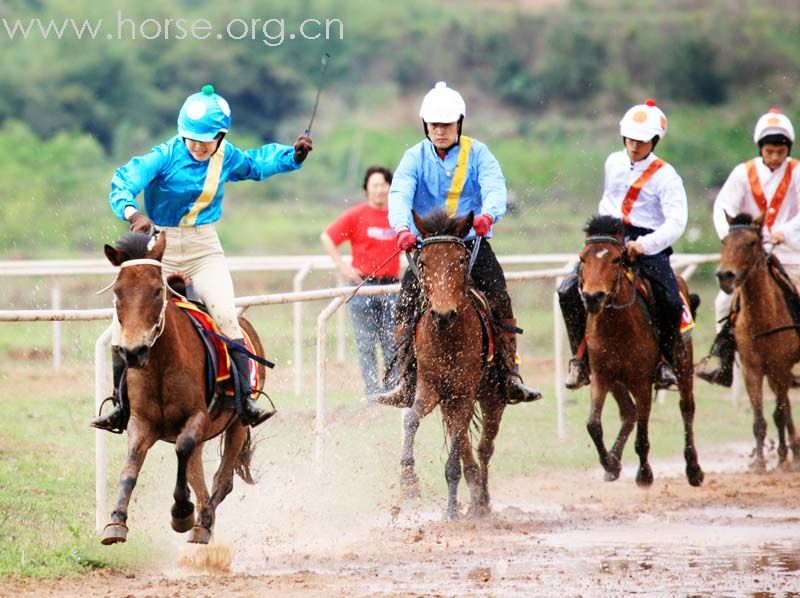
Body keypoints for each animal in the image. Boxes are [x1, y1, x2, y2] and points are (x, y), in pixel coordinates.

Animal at [100, 233, 266, 548]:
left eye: (156, 290)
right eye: (117, 291)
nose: (133, 351)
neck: (161, 365)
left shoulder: (196, 417)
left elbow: (183, 449)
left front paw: (181, 512)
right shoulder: (141, 422)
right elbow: (130, 469)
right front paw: (115, 521)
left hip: (237, 424)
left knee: (222, 479)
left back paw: (203, 523)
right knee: (197, 471)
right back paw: (201, 519)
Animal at [400, 211, 506, 520]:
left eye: (460, 260)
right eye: (423, 262)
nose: (443, 313)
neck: (448, 337)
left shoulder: (465, 392)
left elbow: (457, 452)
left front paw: (451, 509)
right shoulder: (430, 387)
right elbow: (411, 419)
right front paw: (408, 479)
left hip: (492, 397)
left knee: (484, 448)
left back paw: (482, 501)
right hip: (449, 402)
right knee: (469, 451)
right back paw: (473, 499)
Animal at [580, 216, 704, 488]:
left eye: (616, 259)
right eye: (583, 258)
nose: (593, 297)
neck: (617, 324)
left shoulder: (642, 382)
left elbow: (643, 435)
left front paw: (645, 474)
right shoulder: (601, 376)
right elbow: (593, 425)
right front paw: (610, 463)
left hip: (683, 364)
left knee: (687, 408)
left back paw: (693, 469)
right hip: (617, 381)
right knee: (629, 412)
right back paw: (614, 460)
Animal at [716, 213, 800, 472]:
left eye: (751, 242)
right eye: (725, 241)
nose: (725, 276)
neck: (761, 320)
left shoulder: (780, 367)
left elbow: (778, 415)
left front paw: (781, 459)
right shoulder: (752, 369)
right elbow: (760, 419)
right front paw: (760, 462)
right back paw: (795, 451)